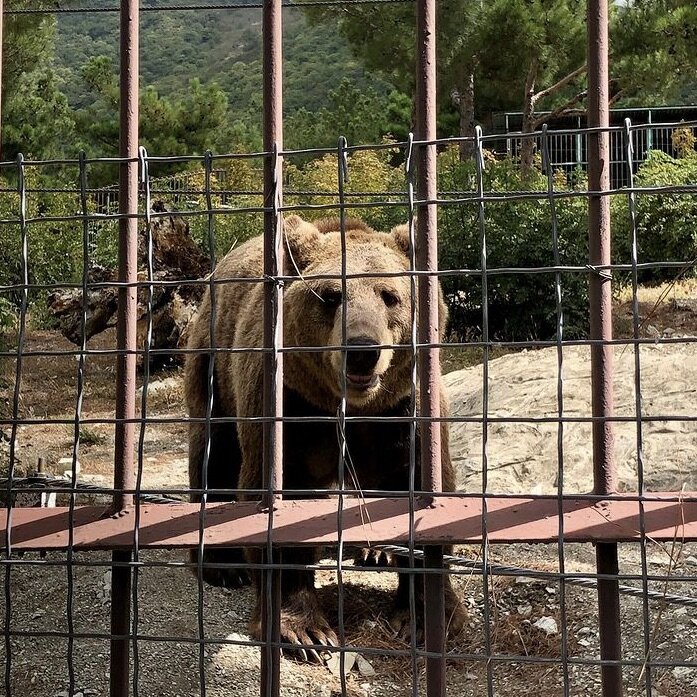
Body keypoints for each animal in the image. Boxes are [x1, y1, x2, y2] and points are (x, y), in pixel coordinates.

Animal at [185, 216, 464, 656]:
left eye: (390, 296)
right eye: (331, 296)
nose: (363, 350)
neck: (350, 407)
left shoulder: (403, 412)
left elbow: (419, 489)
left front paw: (425, 619)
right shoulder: (290, 408)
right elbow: (280, 502)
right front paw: (303, 630)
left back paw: (375, 550)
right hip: (213, 364)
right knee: (215, 450)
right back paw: (222, 564)